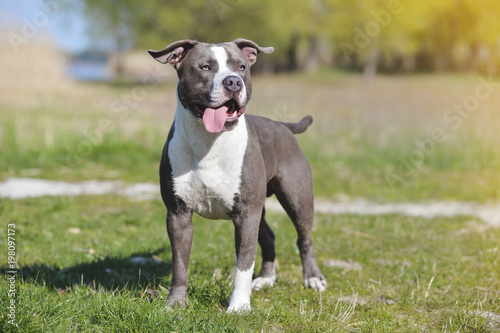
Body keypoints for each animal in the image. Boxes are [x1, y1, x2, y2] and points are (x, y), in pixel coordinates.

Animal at [148, 39, 328, 312]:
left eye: (241, 67)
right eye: (205, 67)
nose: (233, 82)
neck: (209, 142)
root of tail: (282, 125)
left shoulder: (246, 215)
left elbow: (243, 263)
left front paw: (239, 306)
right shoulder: (178, 215)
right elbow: (179, 263)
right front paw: (176, 303)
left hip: (297, 199)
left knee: (304, 238)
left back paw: (313, 278)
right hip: (260, 209)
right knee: (268, 236)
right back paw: (265, 279)